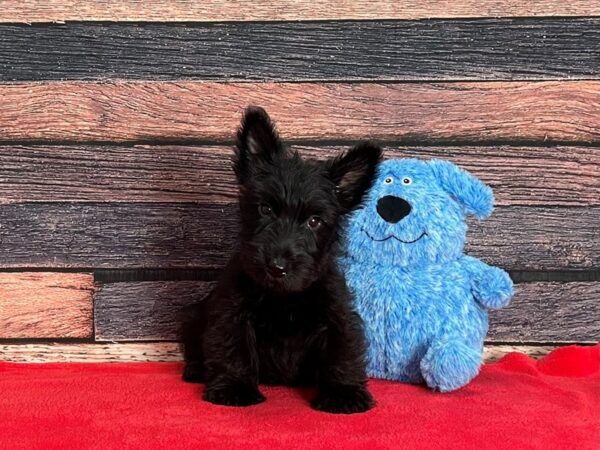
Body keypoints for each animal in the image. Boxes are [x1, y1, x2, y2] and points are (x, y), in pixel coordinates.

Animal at [180, 106, 382, 414]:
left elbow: (342, 352)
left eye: (314, 221)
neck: (283, 296)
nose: (276, 267)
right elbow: (233, 348)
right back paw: (196, 370)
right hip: (192, 316)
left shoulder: (337, 315)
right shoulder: (232, 312)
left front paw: (344, 393)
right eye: (265, 209)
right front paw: (234, 388)